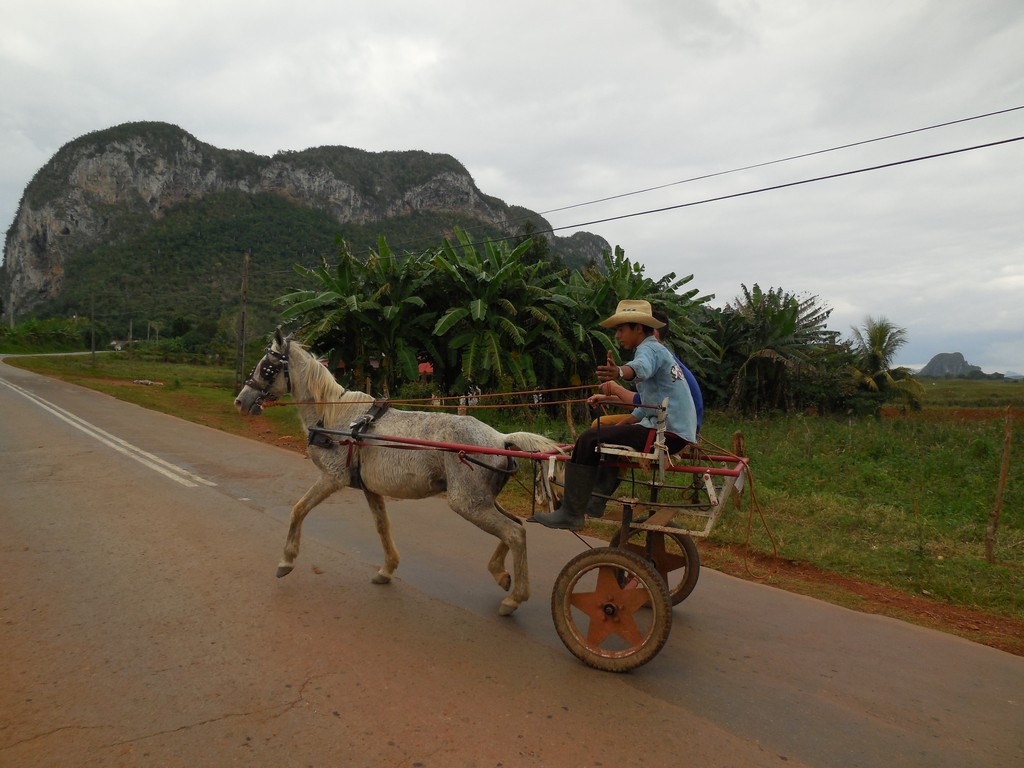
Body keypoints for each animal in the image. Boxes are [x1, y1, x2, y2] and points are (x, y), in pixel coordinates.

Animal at [234, 327, 561, 618]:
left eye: (266, 368)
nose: (240, 400)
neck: (336, 418)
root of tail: (501, 439)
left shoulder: (332, 477)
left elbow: (298, 510)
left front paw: (286, 561)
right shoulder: (369, 487)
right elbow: (382, 527)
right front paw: (387, 568)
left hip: (468, 503)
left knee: (515, 533)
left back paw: (514, 598)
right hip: (483, 499)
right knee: (515, 525)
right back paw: (500, 574)